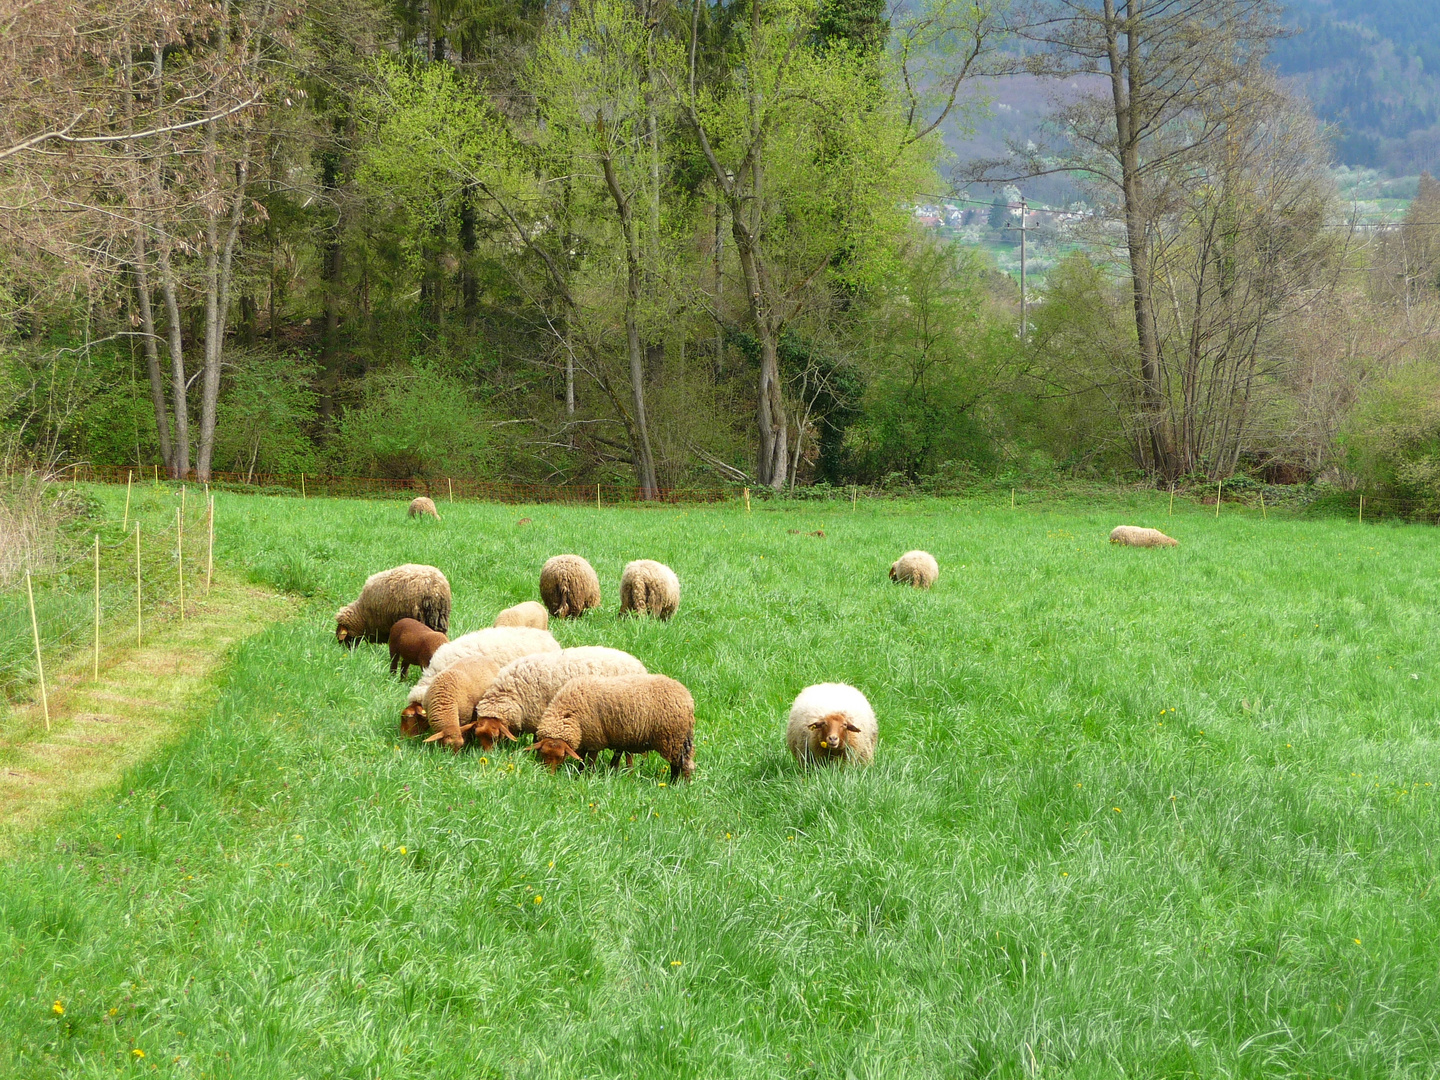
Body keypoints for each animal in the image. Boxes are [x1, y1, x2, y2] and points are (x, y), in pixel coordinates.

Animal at [529, 673, 696, 783]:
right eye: (542, 754)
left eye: (561, 756)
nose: (549, 776)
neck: (568, 713)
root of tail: (687, 697)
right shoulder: (585, 739)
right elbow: (582, 759)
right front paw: (580, 774)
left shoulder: (594, 739)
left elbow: (590, 761)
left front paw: (586, 776)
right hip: (679, 739)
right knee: (678, 763)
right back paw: (673, 783)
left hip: (673, 738)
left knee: (682, 764)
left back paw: (680, 785)